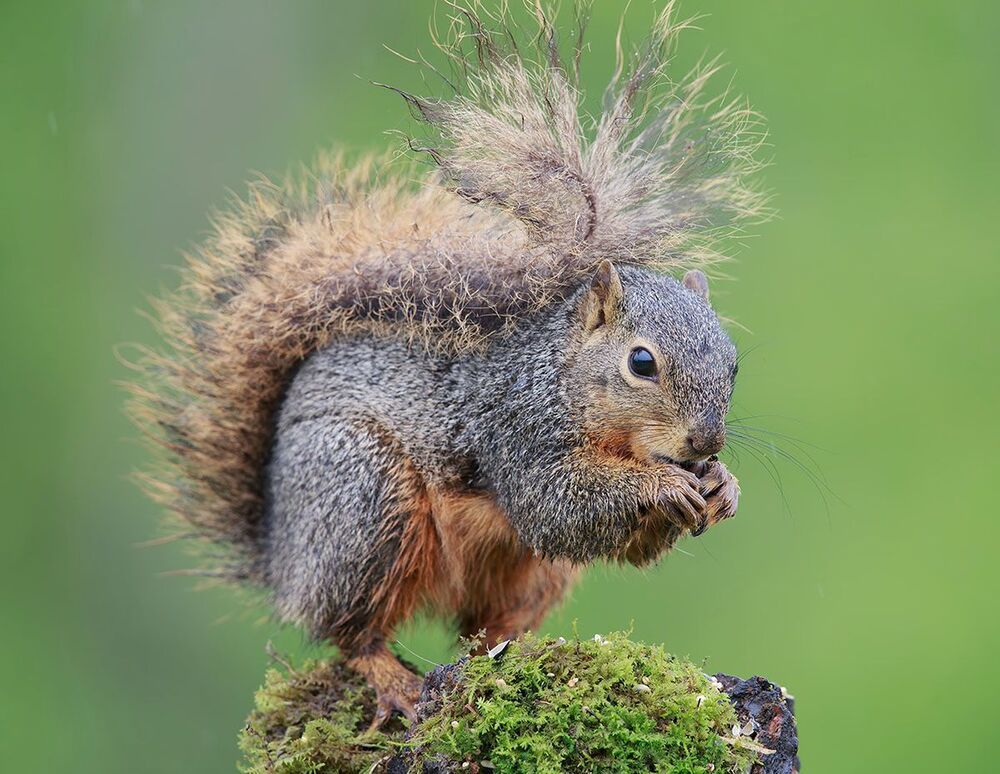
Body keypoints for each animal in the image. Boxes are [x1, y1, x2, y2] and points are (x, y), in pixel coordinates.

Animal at [129, 2, 766, 726]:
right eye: (641, 362)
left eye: (734, 364)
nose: (706, 442)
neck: (566, 379)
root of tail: (280, 555)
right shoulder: (515, 430)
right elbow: (557, 506)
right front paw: (663, 485)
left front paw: (724, 486)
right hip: (364, 502)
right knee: (349, 630)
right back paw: (395, 682)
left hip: (530, 575)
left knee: (481, 629)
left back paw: (515, 654)